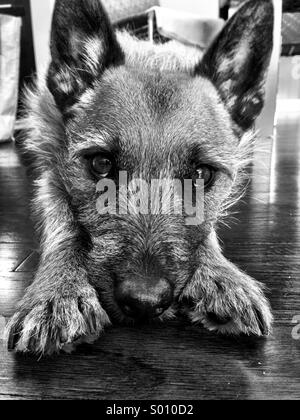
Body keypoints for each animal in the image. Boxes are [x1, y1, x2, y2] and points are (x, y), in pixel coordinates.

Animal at [6, 0, 274, 354]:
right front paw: (58, 290)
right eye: (101, 163)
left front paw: (222, 275)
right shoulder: (50, 177)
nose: (145, 301)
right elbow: (63, 225)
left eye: (201, 174)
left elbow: (207, 233)